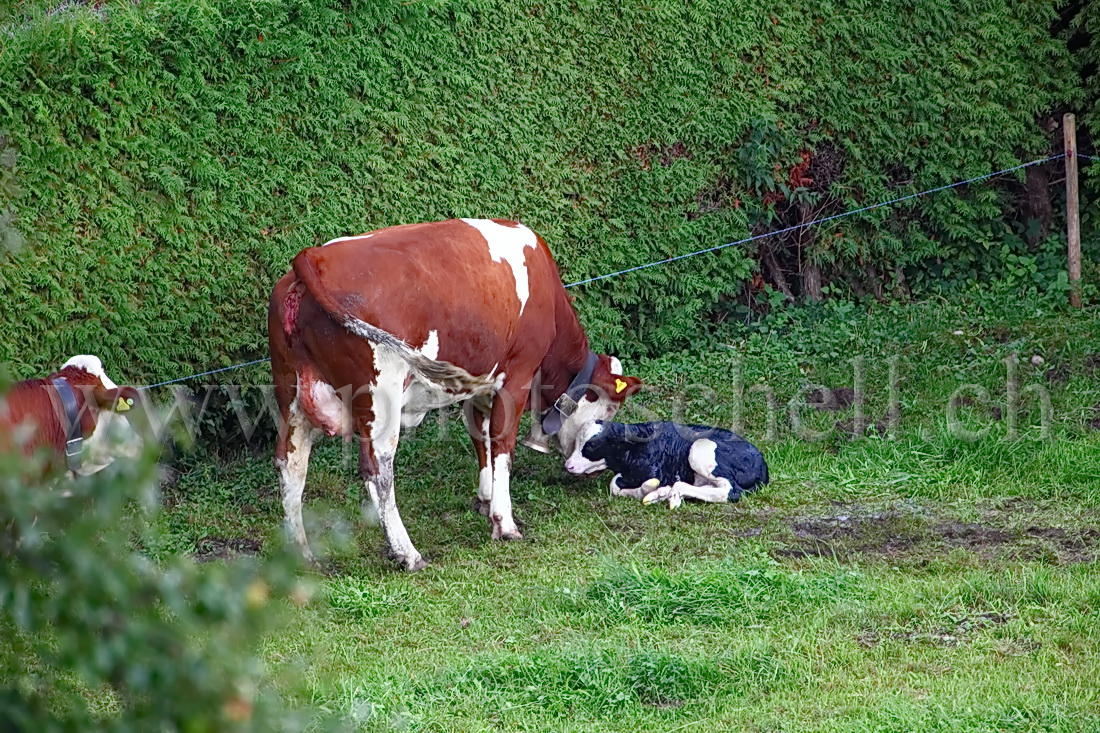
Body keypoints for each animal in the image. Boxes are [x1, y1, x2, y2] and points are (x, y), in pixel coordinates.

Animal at [269, 216, 642, 572]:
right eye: (609, 411)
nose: (596, 471)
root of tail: (314, 257)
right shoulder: (517, 375)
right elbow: (502, 443)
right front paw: (504, 523)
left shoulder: (482, 380)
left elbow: (481, 435)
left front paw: (485, 498)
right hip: (381, 397)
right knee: (377, 471)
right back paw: (408, 554)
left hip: (291, 396)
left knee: (291, 465)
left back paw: (302, 555)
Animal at [563, 420, 770, 506]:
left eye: (591, 446)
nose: (568, 465)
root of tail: (763, 466)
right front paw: (652, 492)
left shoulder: (654, 471)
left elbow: (614, 483)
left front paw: (646, 489)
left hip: (699, 450)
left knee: (729, 491)